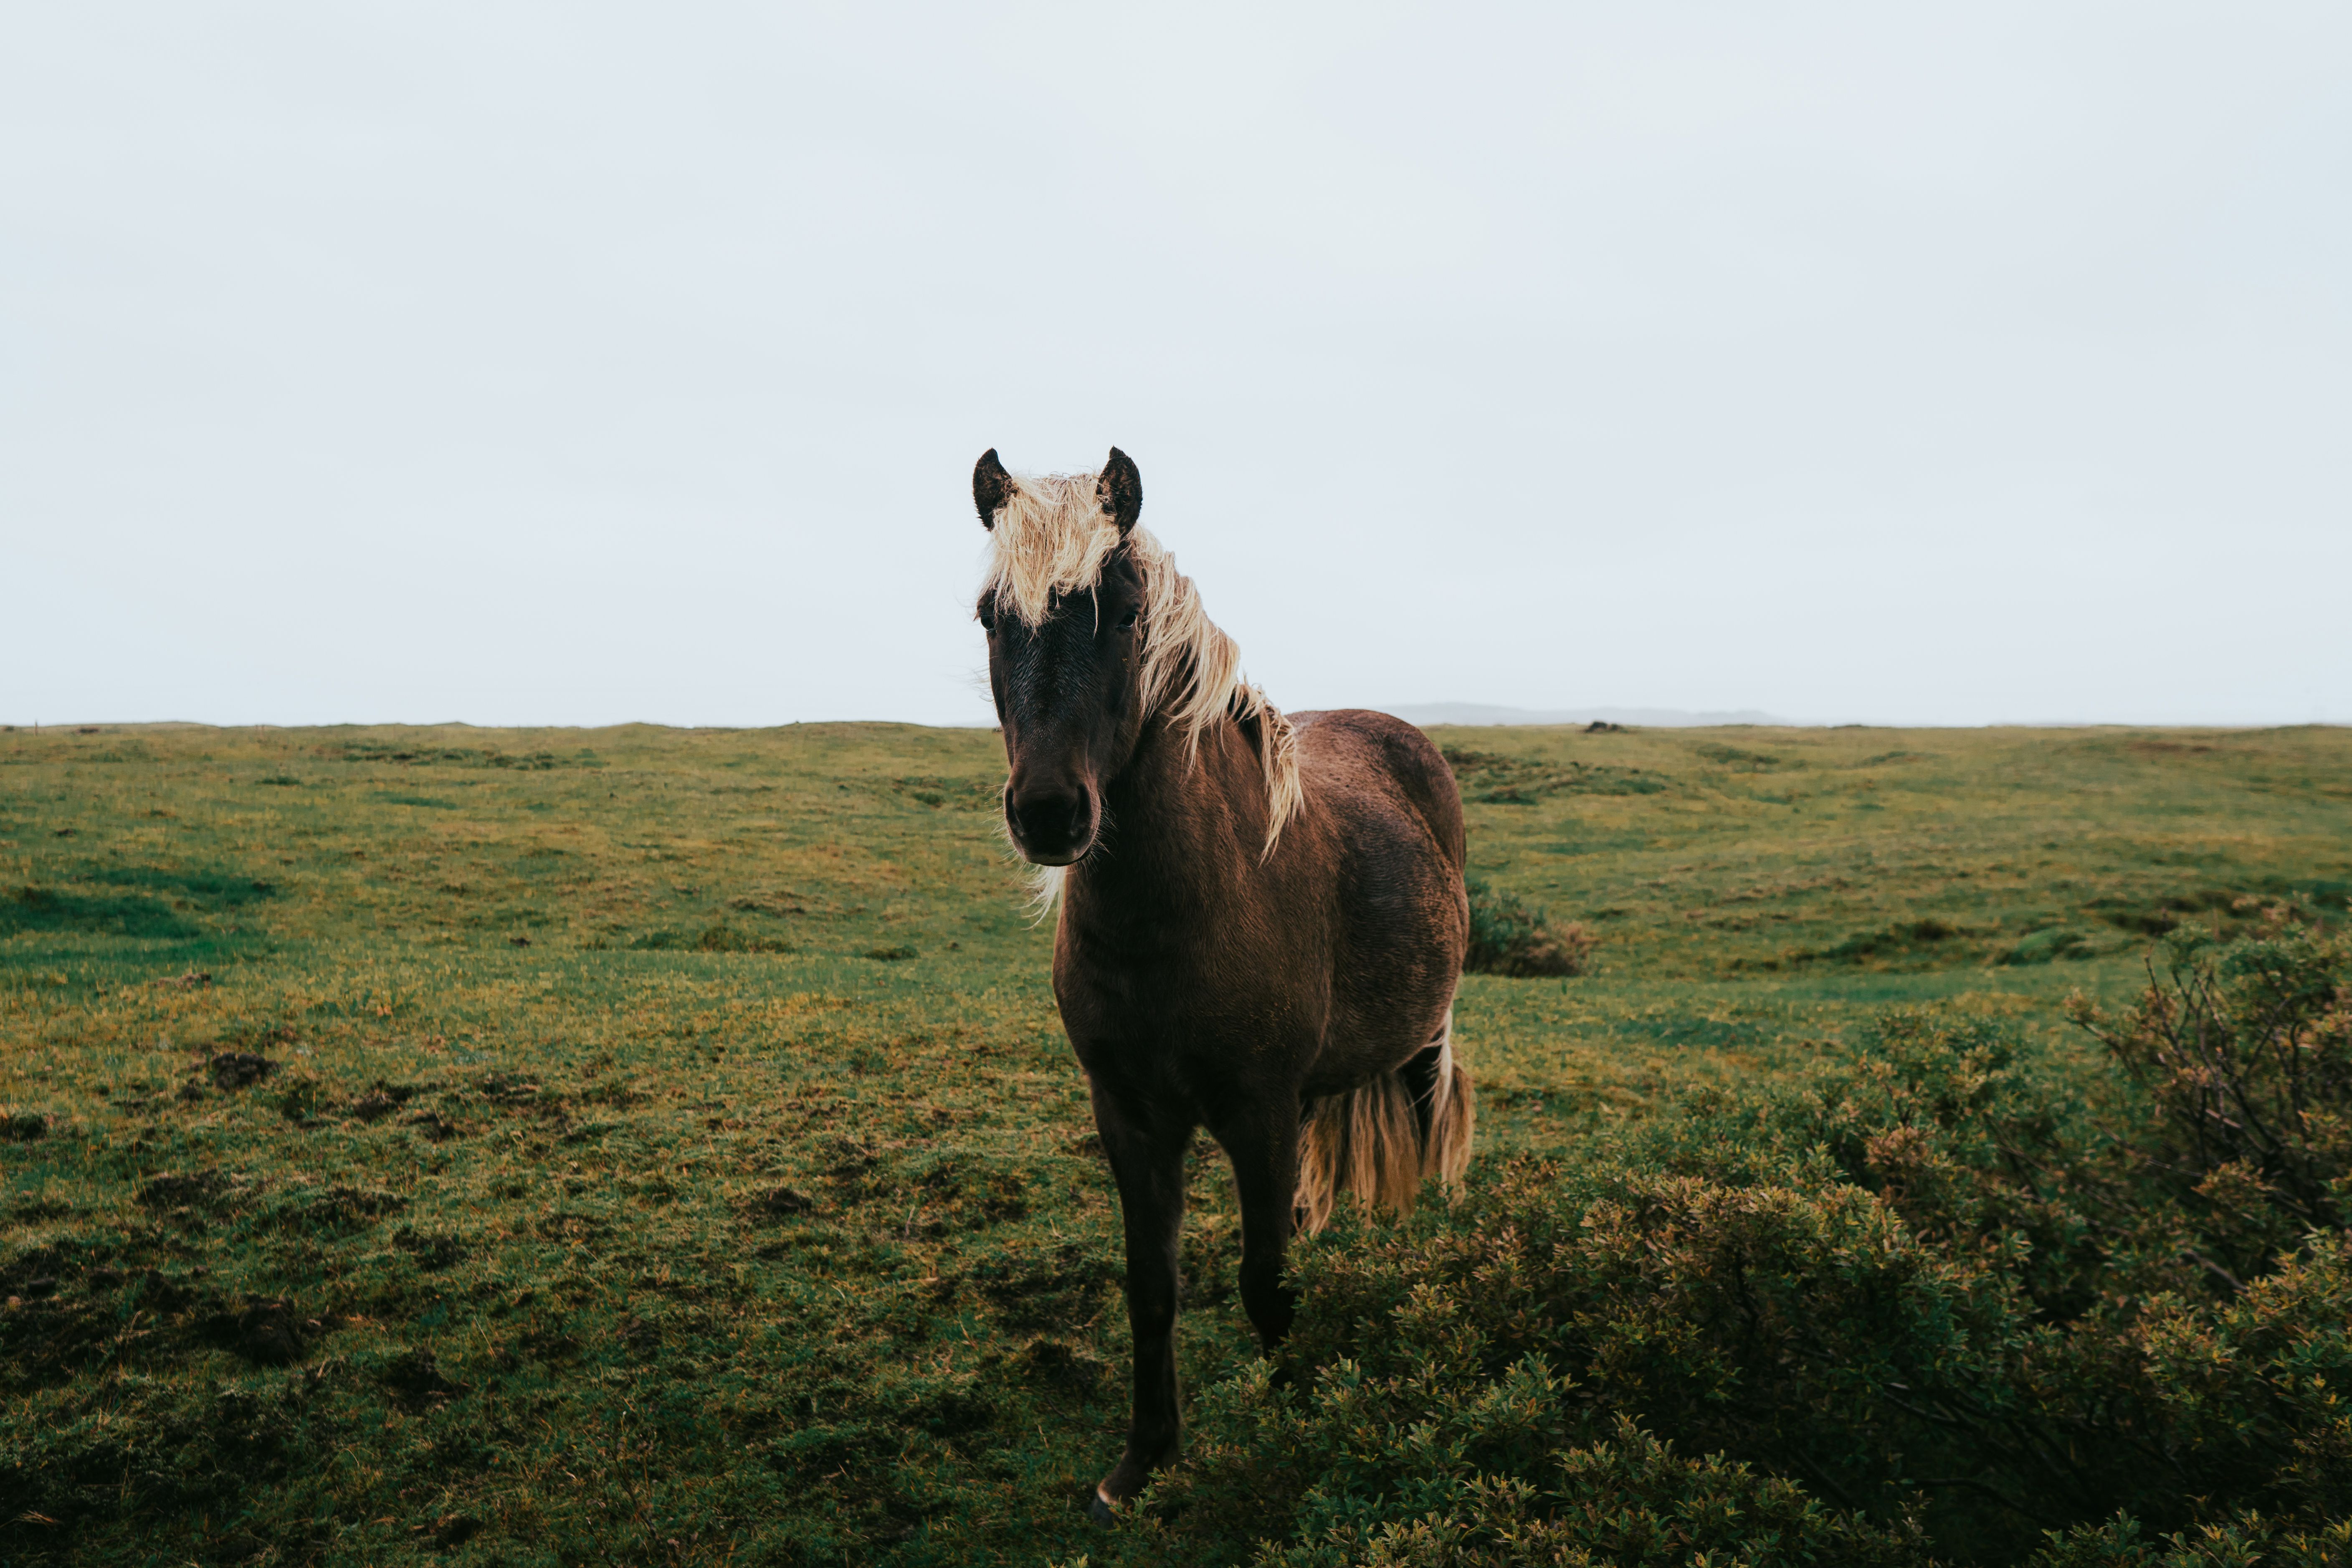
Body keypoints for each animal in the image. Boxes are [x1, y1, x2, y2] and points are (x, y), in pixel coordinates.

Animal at [967, 446, 1477, 1520]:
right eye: (991, 614)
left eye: (1123, 612)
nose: (1048, 813)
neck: (1176, 915)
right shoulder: (1127, 1111)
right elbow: (1151, 1284)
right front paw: (1143, 1459)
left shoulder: (1258, 1108)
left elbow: (1262, 1279)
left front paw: (1294, 1420)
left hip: (1418, 1044)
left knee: (1422, 1147)